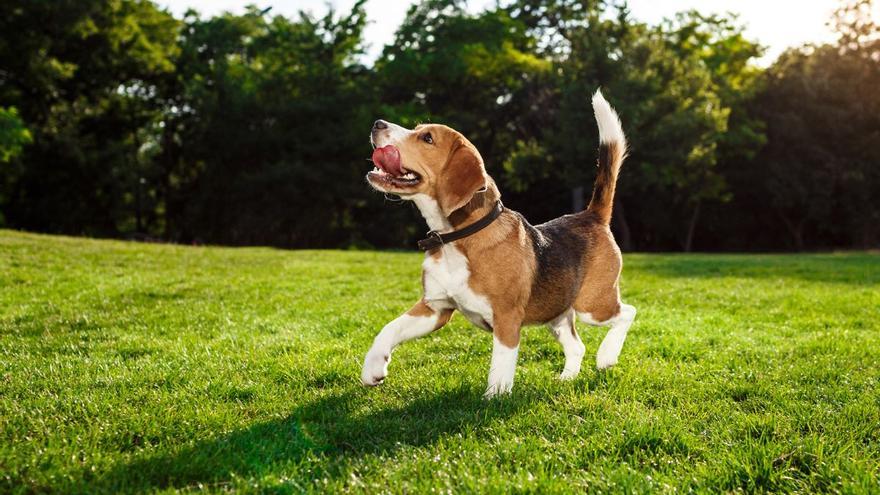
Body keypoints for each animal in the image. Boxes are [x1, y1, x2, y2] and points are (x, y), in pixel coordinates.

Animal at [360, 90, 636, 400]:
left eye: (427, 138)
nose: (378, 123)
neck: (456, 238)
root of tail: (591, 215)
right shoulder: (435, 308)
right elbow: (389, 329)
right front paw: (373, 368)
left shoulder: (506, 317)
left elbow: (500, 365)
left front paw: (494, 399)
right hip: (557, 313)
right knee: (577, 345)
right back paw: (566, 378)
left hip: (593, 305)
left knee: (628, 313)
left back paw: (607, 356)